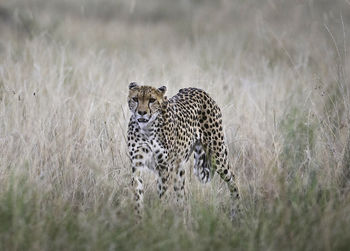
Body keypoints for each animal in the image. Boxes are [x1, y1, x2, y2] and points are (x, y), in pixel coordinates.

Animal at [127, 82, 239, 218]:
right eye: (135, 99)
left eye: (152, 100)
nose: (142, 112)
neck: (147, 128)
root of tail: (197, 89)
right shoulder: (137, 163)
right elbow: (137, 193)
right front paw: (138, 218)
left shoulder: (164, 167)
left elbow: (163, 195)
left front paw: (161, 215)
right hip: (179, 169)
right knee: (181, 197)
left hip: (217, 155)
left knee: (232, 179)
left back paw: (237, 212)